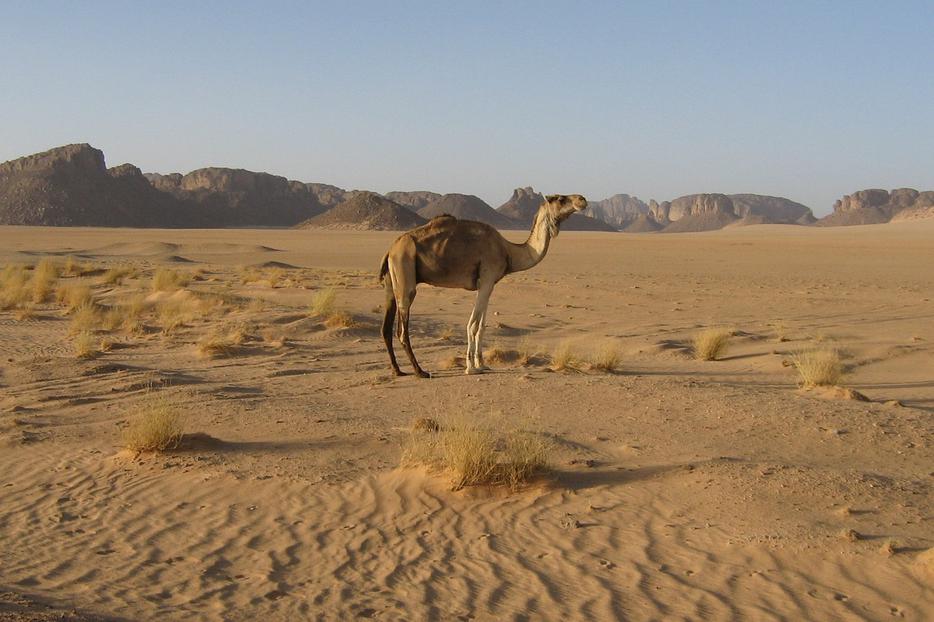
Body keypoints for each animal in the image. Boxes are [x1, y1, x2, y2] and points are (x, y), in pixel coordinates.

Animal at [379, 193, 588, 377]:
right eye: (561, 198)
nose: (582, 199)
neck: (509, 252)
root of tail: (390, 250)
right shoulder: (487, 278)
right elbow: (472, 325)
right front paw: (471, 367)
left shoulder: (487, 285)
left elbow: (481, 326)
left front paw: (482, 364)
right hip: (405, 272)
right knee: (402, 330)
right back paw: (420, 371)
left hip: (391, 284)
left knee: (386, 328)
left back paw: (398, 371)